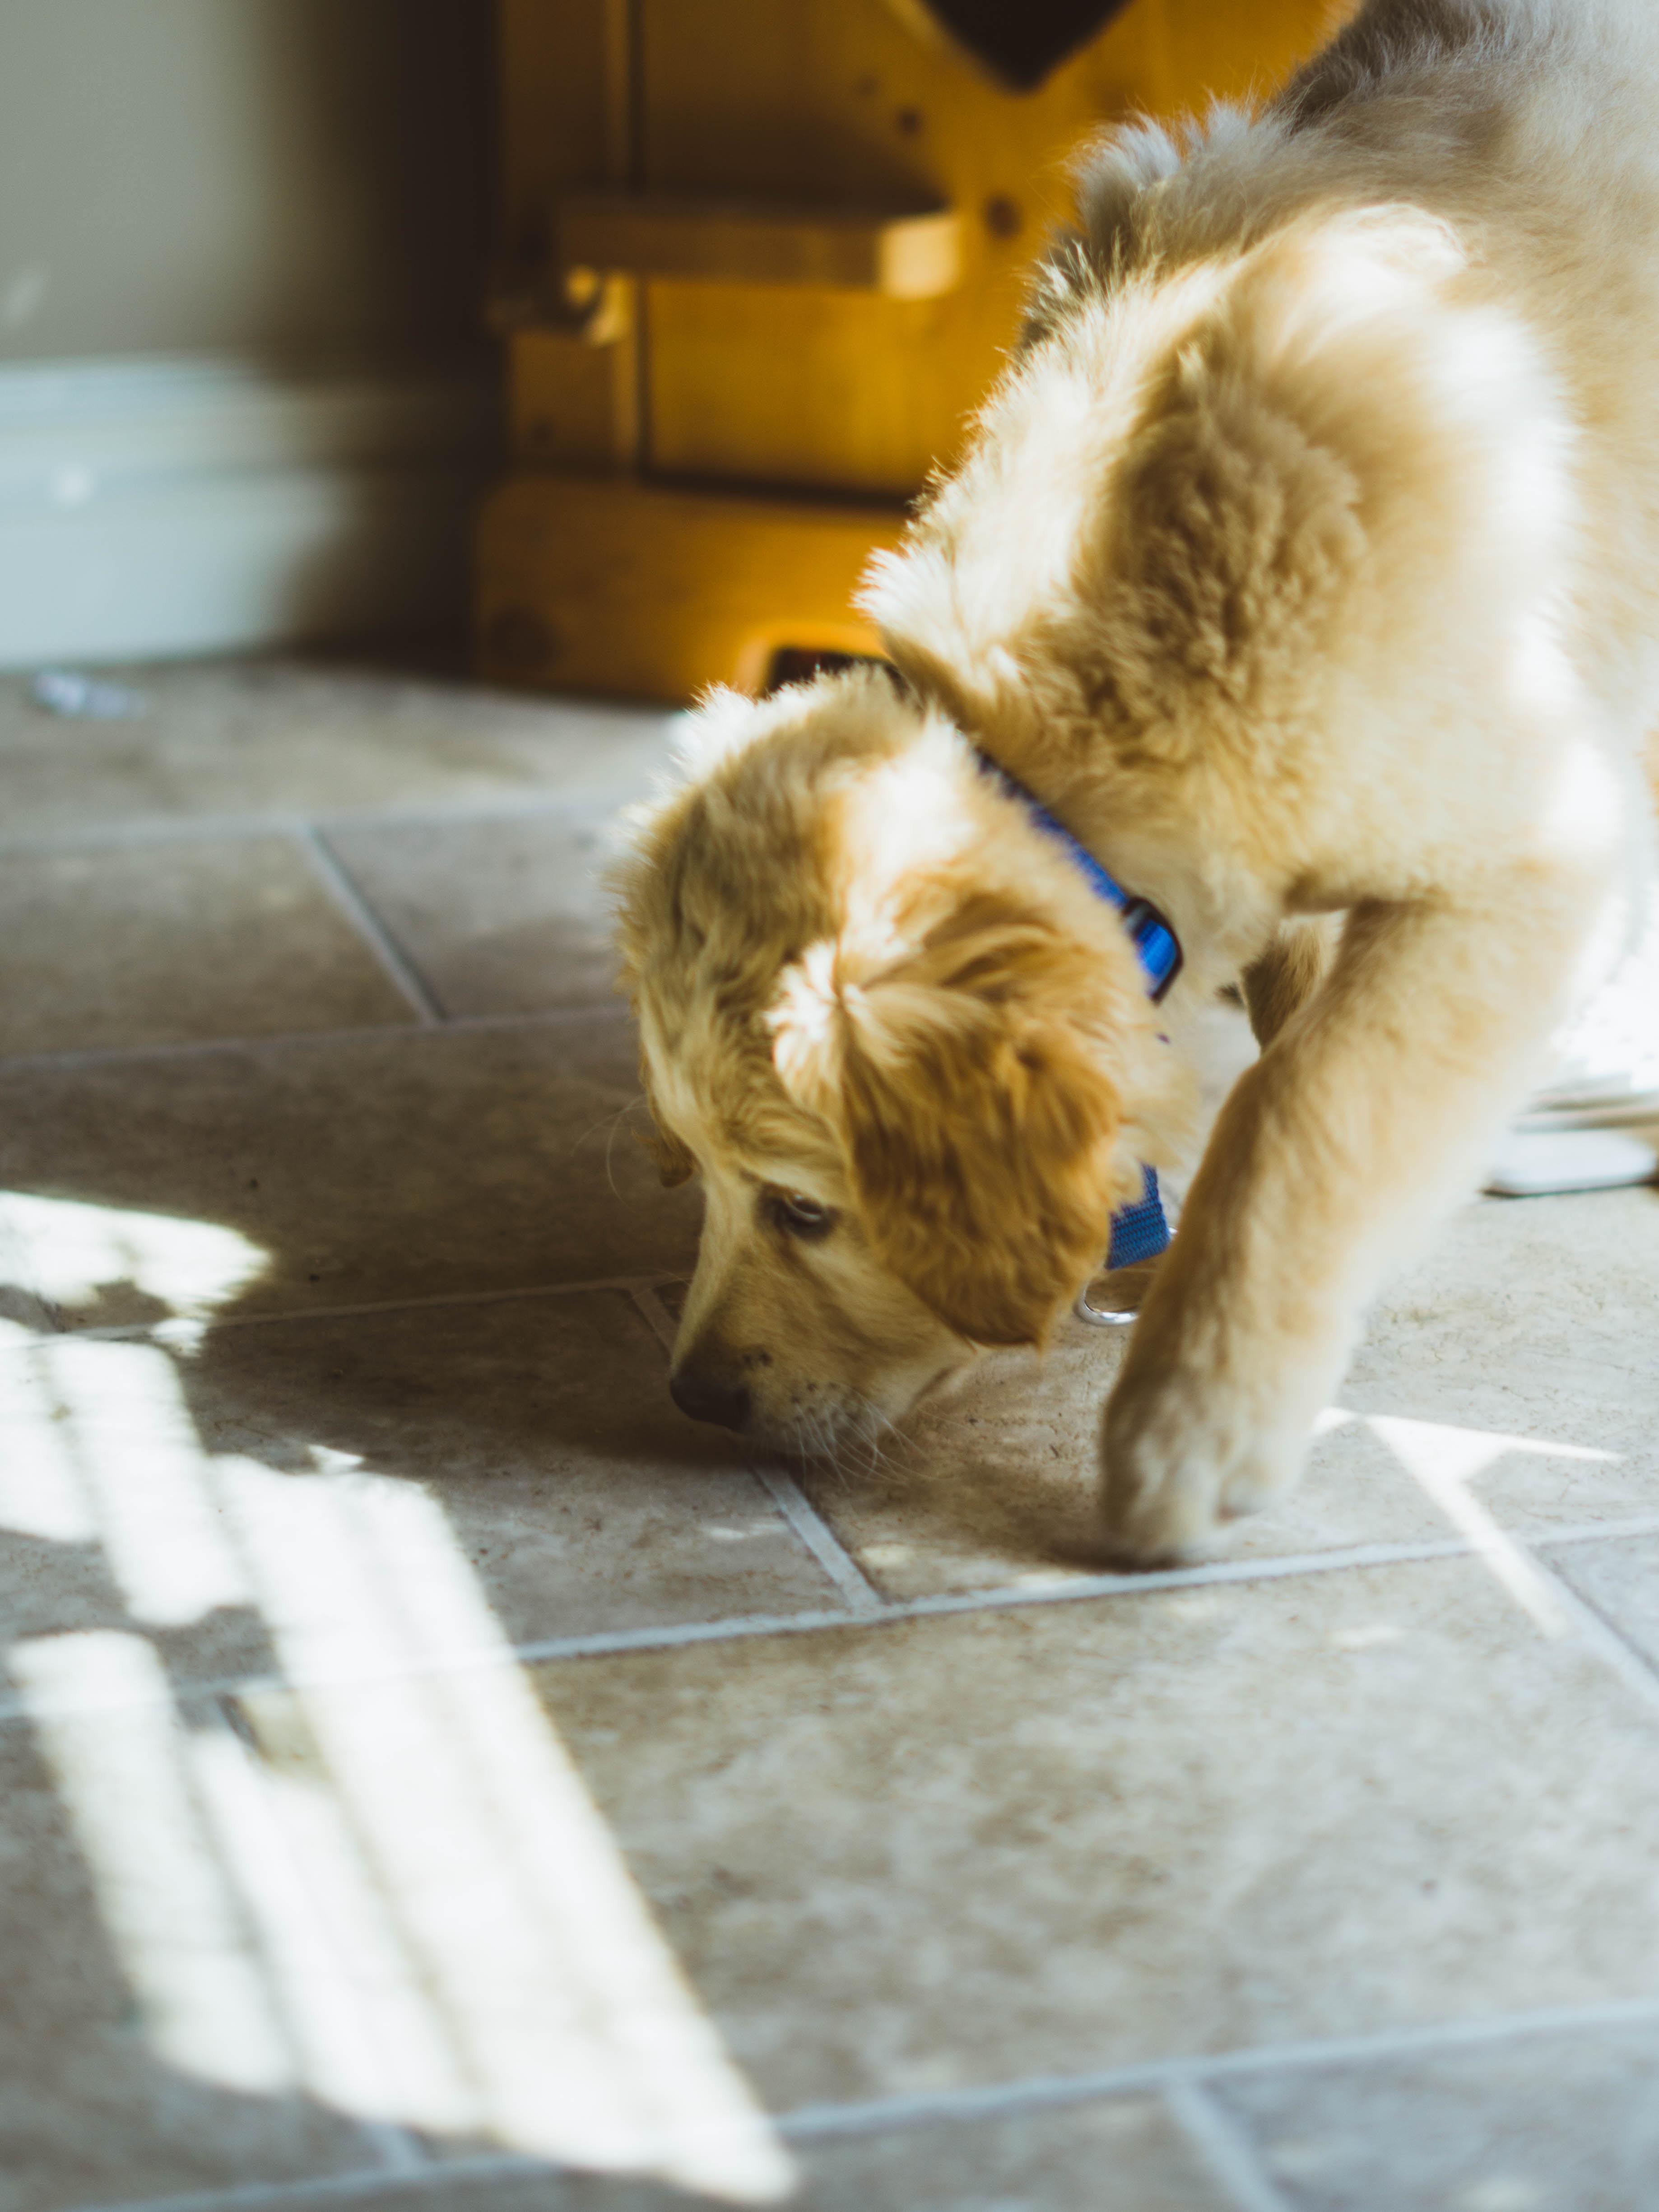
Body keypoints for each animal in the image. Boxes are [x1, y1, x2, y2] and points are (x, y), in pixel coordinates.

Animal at [619, 0, 1659, 1557]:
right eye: (691, 1167)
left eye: (804, 1210)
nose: (692, 1397)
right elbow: (1291, 1037)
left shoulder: (1529, 853)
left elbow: (1305, 1108)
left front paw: (1197, 1415)